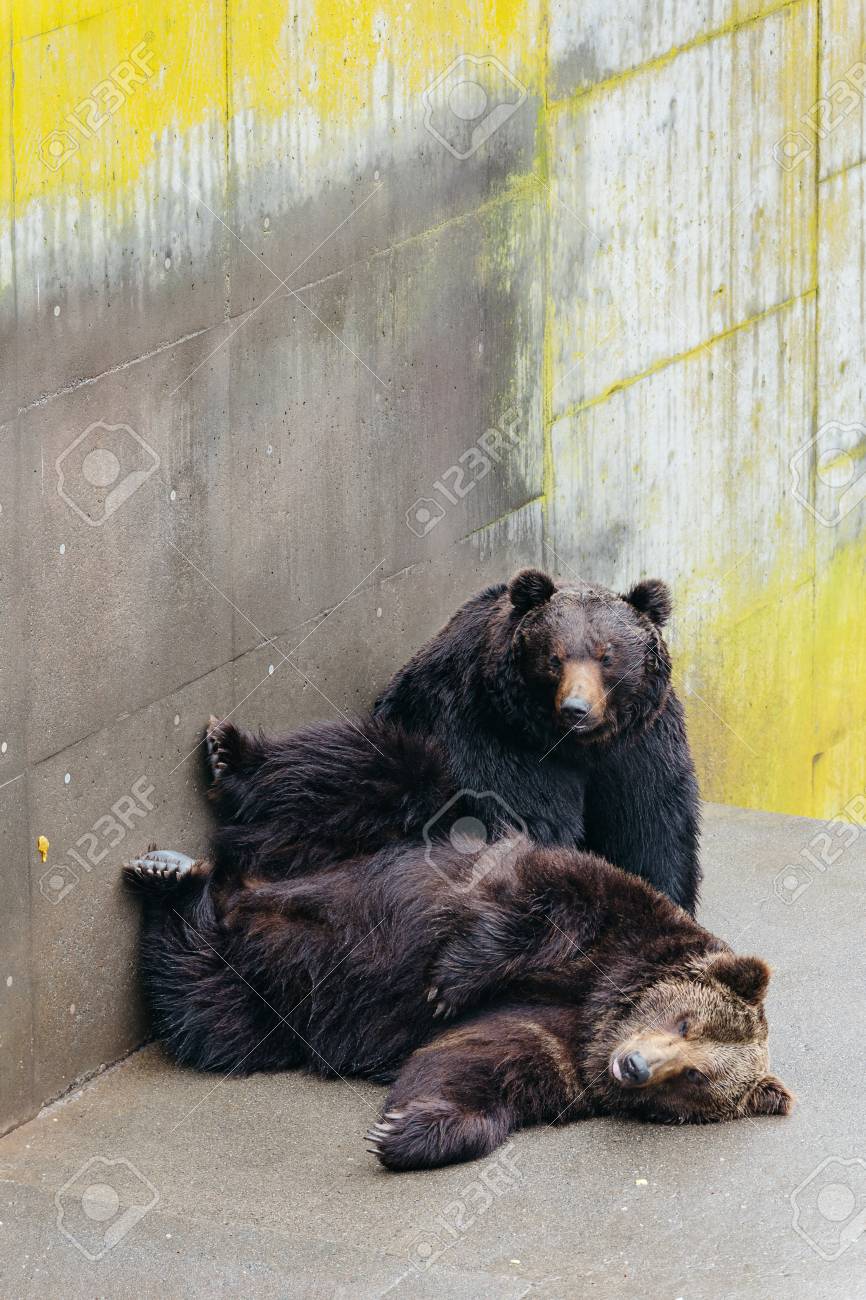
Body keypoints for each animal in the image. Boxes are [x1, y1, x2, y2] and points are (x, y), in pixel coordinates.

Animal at [123, 717, 790, 1171]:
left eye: (696, 1076)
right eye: (683, 1021)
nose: (635, 1066)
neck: (601, 1004)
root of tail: (249, 888)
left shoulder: (559, 1045)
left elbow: (478, 1063)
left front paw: (405, 1132)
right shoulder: (601, 911)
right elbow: (523, 911)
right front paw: (446, 983)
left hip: (269, 988)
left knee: (207, 1009)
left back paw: (173, 884)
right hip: (375, 834)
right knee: (364, 769)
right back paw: (224, 760)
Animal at [373, 567, 701, 913]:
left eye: (607, 656)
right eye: (554, 658)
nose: (576, 709)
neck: (581, 748)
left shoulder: (640, 743)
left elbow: (652, 822)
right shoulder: (498, 736)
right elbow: (530, 817)